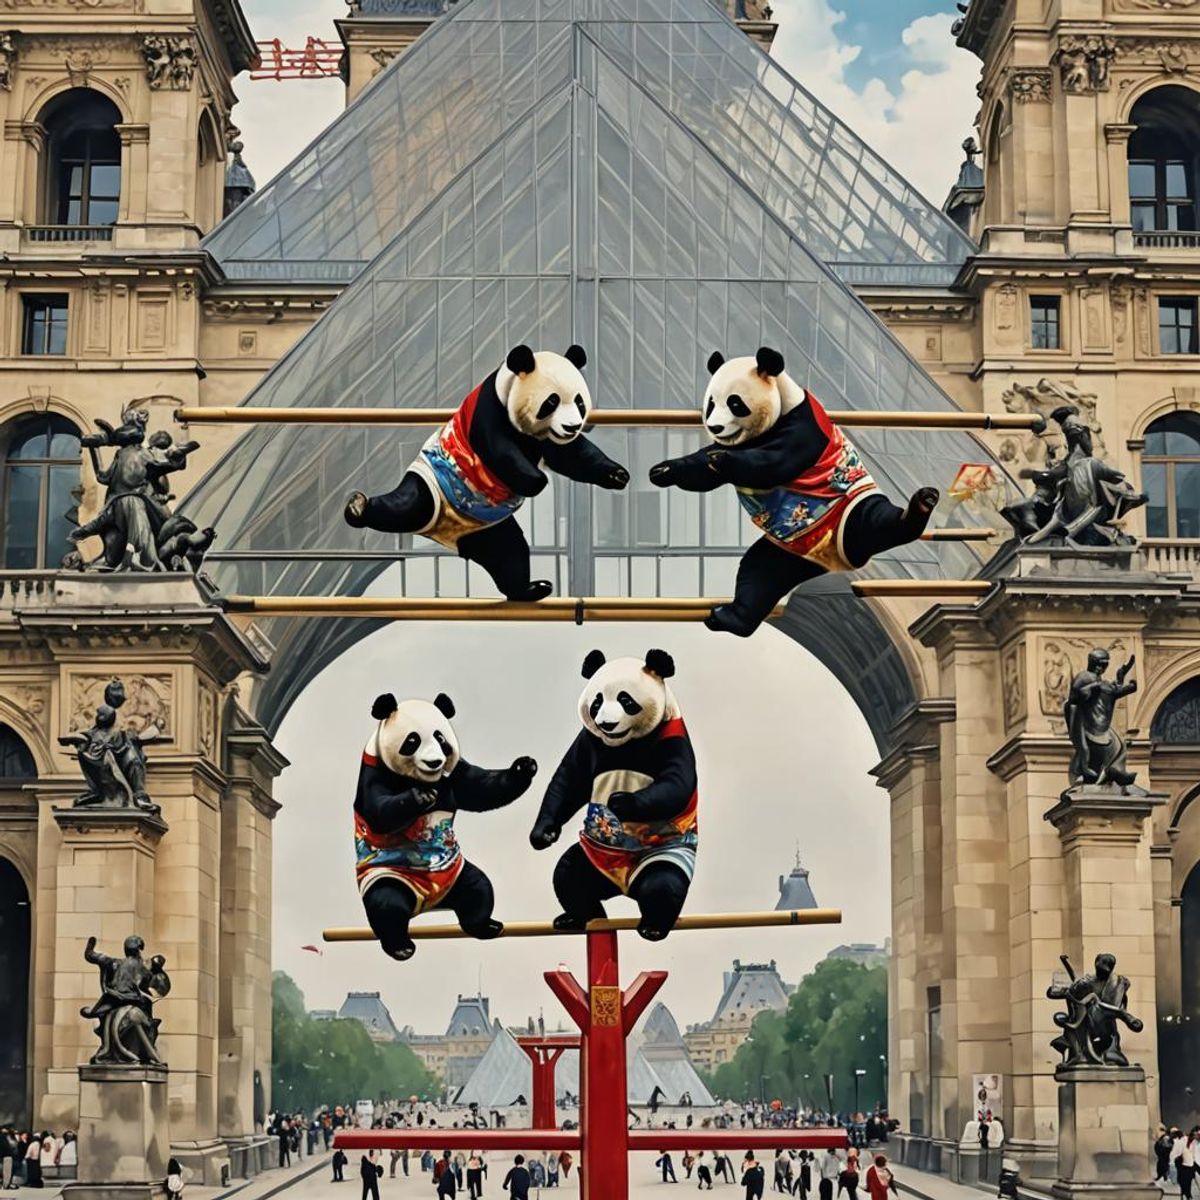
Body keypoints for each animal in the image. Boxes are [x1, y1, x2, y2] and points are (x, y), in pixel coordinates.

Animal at [345, 350, 633, 604]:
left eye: (579, 402)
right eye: (551, 402)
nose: (572, 426)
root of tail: (446, 534)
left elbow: (573, 455)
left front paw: (617, 474)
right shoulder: (488, 411)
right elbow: (500, 450)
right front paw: (537, 480)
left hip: (490, 528)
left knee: (509, 553)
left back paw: (530, 589)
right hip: (432, 488)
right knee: (406, 507)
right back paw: (358, 508)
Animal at [352, 691, 537, 960]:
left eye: (441, 739)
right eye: (412, 740)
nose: (434, 762)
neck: (422, 778)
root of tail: (428, 903)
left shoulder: (453, 775)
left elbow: (481, 789)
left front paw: (524, 767)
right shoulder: (375, 772)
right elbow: (379, 812)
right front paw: (420, 797)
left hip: (457, 875)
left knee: (478, 890)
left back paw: (485, 925)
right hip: (388, 873)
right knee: (388, 904)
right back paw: (400, 947)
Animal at [530, 652, 700, 940]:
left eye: (626, 700)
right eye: (597, 702)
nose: (606, 724)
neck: (626, 743)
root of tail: (625, 887)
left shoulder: (672, 738)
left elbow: (676, 784)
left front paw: (622, 802)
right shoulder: (589, 740)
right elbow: (568, 781)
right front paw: (544, 834)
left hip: (668, 852)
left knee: (661, 884)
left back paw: (653, 927)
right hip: (594, 858)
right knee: (569, 877)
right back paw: (580, 917)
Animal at [652, 348, 940, 638]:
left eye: (735, 403)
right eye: (711, 403)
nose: (715, 427)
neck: (786, 401)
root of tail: (838, 561)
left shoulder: (804, 430)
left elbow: (774, 462)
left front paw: (722, 460)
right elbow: (702, 471)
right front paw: (664, 470)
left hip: (851, 513)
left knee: (877, 521)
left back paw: (919, 506)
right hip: (786, 551)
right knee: (759, 574)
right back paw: (729, 618)